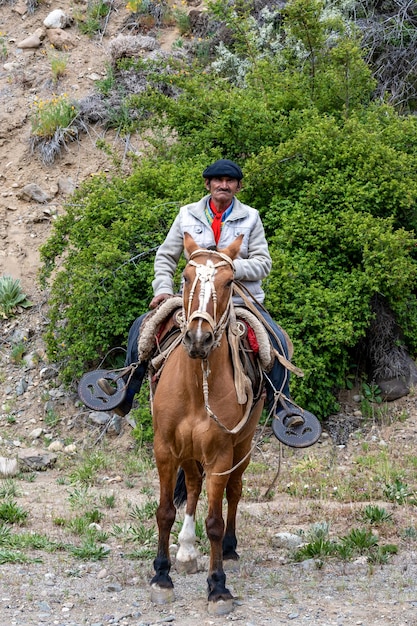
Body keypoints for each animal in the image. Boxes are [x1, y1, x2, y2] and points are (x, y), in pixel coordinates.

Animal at [151, 233, 264, 616]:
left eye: (229, 282)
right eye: (186, 277)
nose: (198, 339)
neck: (195, 388)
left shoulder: (220, 455)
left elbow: (214, 521)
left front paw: (218, 587)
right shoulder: (165, 449)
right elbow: (165, 511)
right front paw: (161, 576)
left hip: (242, 447)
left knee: (234, 492)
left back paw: (228, 549)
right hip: (187, 451)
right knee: (193, 486)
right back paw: (186, 550)